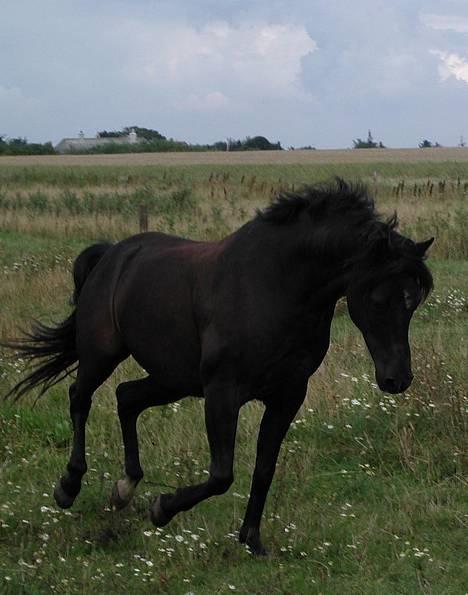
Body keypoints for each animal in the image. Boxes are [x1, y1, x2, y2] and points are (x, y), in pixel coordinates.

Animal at [4, 180, 436, 556]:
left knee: (126, 399)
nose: (397, 379)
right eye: (378, 298)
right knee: (81, 398)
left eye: (413, 301)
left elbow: (264, 469)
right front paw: (162, 509)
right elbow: (221, 474)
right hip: (102, 355)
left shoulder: (287, 396)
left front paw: (252, 541)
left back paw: (124, 488)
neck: (274, 287)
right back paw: (69, 486)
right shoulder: (222, 394)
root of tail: (111, 256)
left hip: (173, 379)